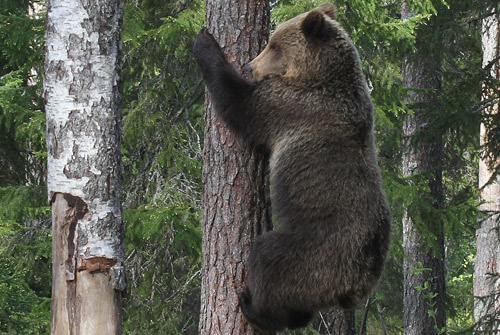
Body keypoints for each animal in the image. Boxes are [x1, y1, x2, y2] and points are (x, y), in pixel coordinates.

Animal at [193, 2, 392, 332]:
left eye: (274, 46)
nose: (249, 65)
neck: (321, 78)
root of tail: (354, 287)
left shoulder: (291, 105)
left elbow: (240, 104)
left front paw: (204, 41)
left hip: (312, 253)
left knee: (268, 259)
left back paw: (252, 305)